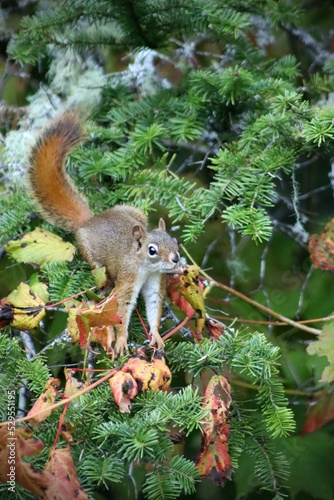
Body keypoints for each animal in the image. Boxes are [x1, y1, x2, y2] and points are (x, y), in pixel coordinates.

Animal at [26, 112, 180, 358]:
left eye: (175, 241)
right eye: (152, 250)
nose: (175, 259)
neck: (146, 269)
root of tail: (90, 221)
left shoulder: (156, 282)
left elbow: (154, 308)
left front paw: (156, 335)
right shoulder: (127, 281)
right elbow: (121, 311)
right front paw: (122, 340)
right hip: (92, 256)